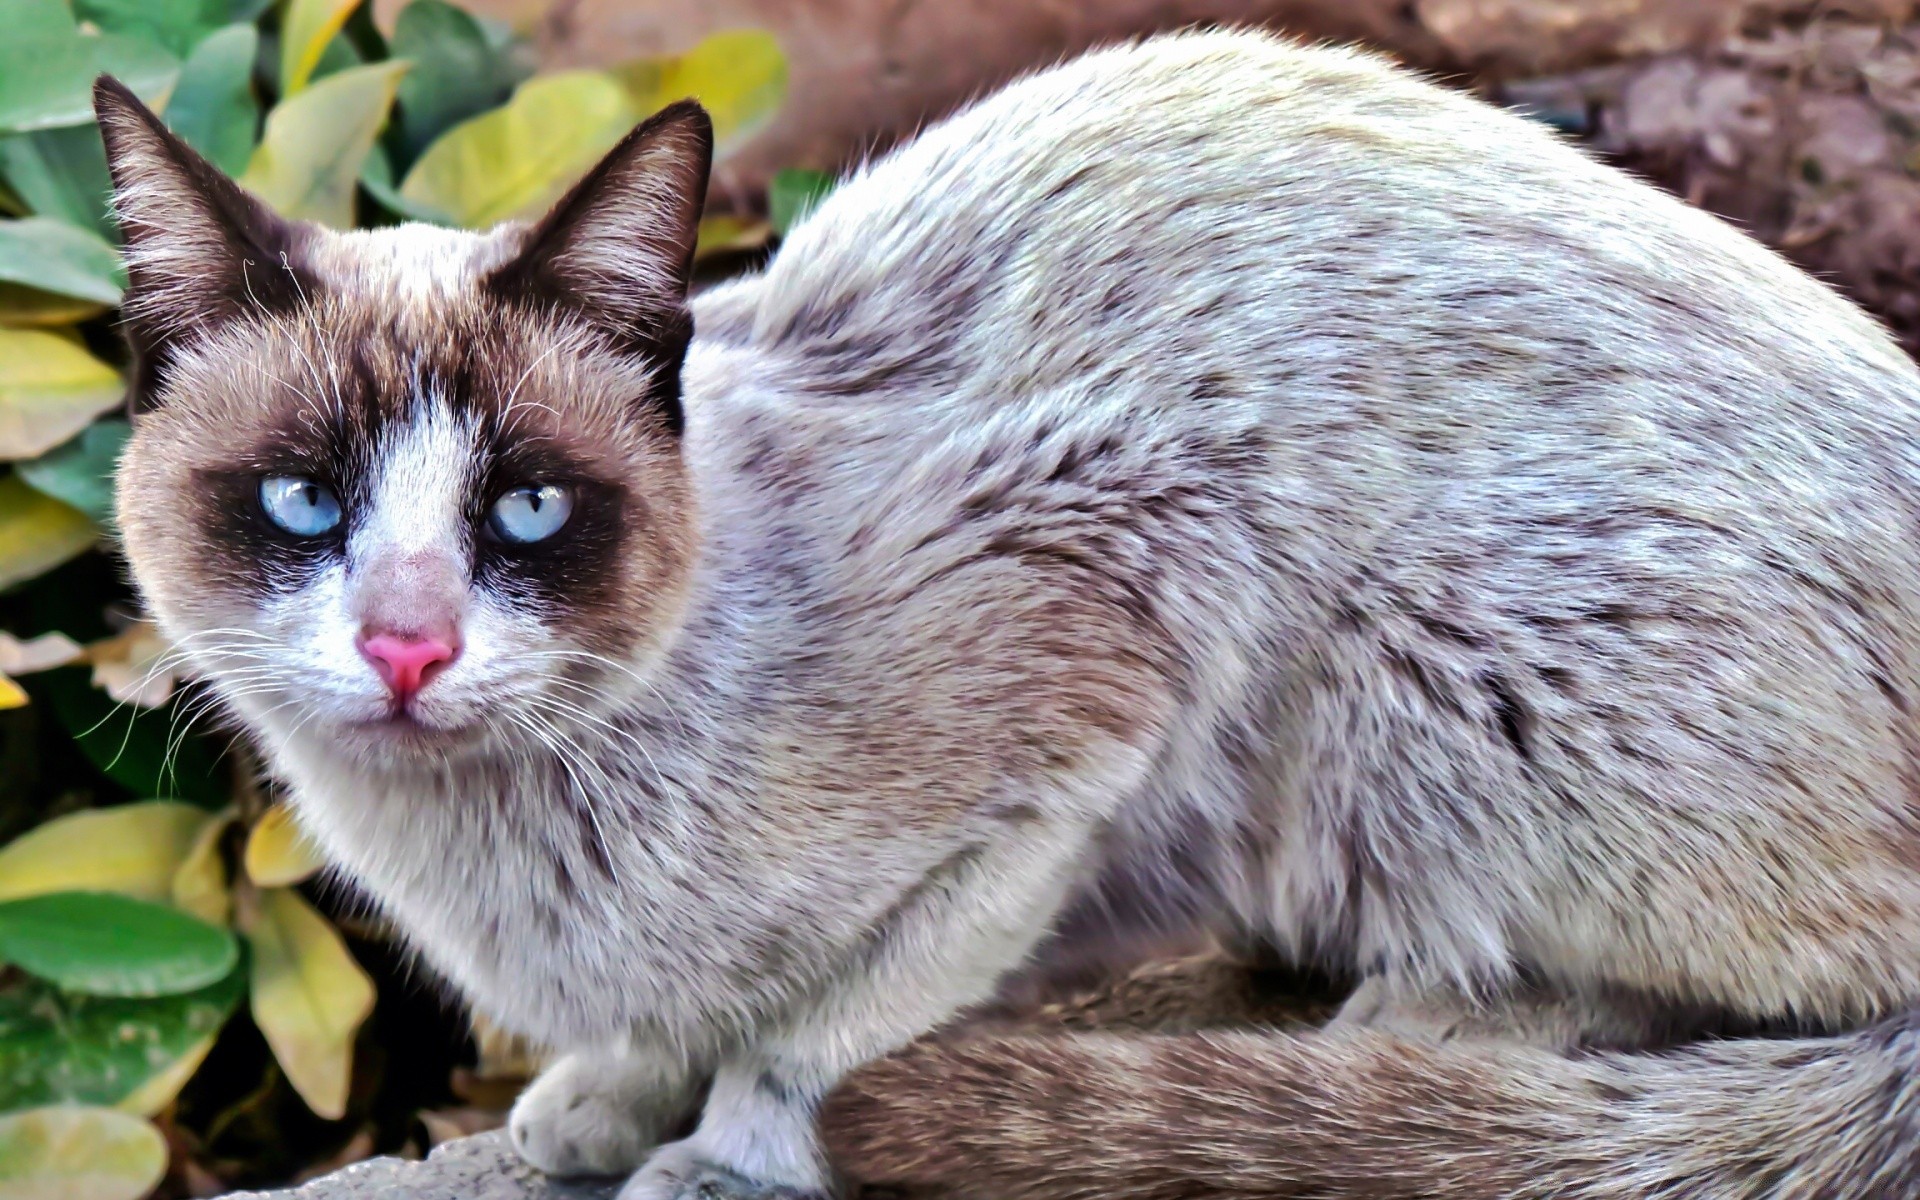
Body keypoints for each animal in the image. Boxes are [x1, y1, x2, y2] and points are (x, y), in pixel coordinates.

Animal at [93, 28, 1920, 1198]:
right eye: (302, 503)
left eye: (528, 510)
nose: (406, 647)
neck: (484, 848)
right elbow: (685, 1029)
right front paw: (600, 1108)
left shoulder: (1090, 668)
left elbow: (817, 1039)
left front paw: (726, 1160)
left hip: (1434, 689)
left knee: (1770, 1003)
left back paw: (1417, 1027)